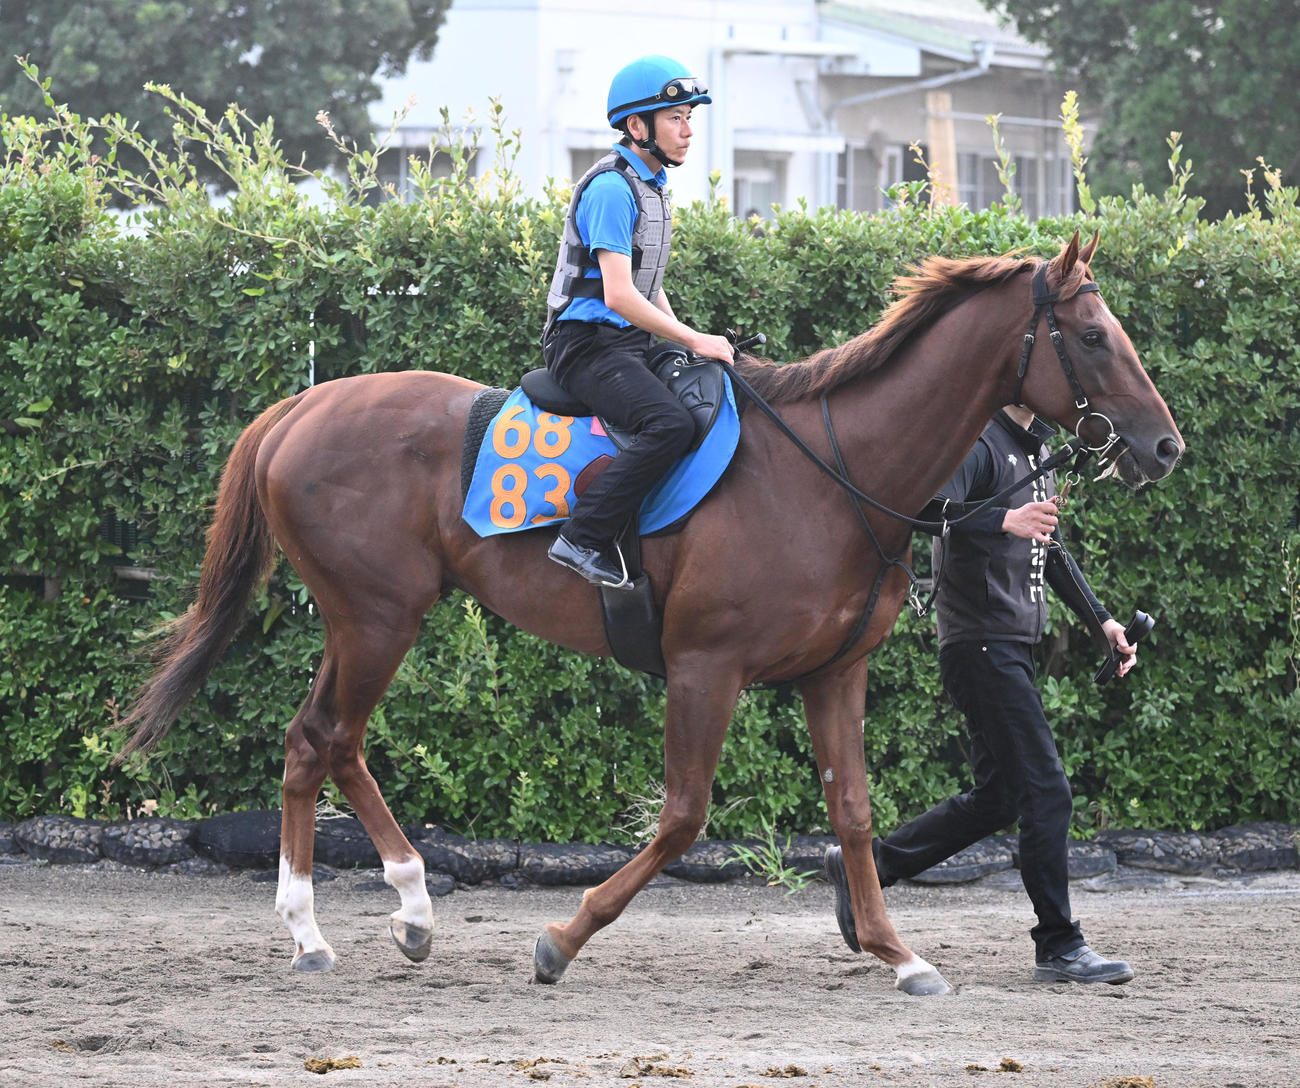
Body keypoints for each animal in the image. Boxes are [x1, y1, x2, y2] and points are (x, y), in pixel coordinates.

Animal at [117, 231, 1183, 996]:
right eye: (1094, 336)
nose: (1164, 445)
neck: (833, 474)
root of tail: (298, 410)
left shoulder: (835, 671)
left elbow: (853, 810)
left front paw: (896, 950)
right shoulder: (706, 667)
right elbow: (681, 817)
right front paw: (560, 937)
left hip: (374, 618)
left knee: (321, 741)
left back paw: (382, 916)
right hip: (377, 616)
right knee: (325, 737)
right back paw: (337, 922)